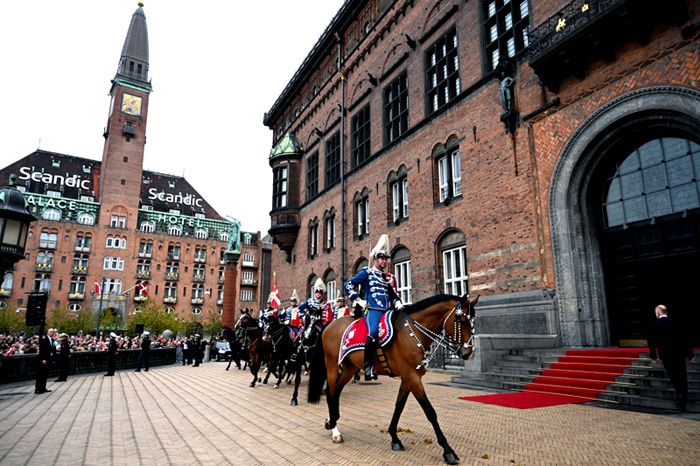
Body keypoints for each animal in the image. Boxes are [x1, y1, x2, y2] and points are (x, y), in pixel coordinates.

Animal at [306, 294, 476, 464]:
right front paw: (448, 450)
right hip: (332, 365)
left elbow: (399, 406)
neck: (412, 330)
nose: (468, 352)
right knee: (330, 392)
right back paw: (335, 431)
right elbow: (430, 411)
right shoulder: (413, 377)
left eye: (472, 319)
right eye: (460, 319)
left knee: (337, 391)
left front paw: (394, 438)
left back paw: (331, 421)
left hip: (350, 367)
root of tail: (331, 324)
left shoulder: (408, 378)